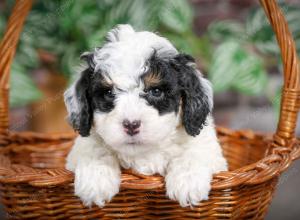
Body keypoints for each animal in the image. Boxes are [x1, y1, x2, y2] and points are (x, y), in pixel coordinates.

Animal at [63, 24, 227, 208]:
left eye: (156, 91)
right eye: (108, 93)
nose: (131, 125)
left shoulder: (205, 146)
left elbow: (192, 152)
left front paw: (188, 182)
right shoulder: (84, 144)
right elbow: (96, 149)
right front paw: (95, 181)